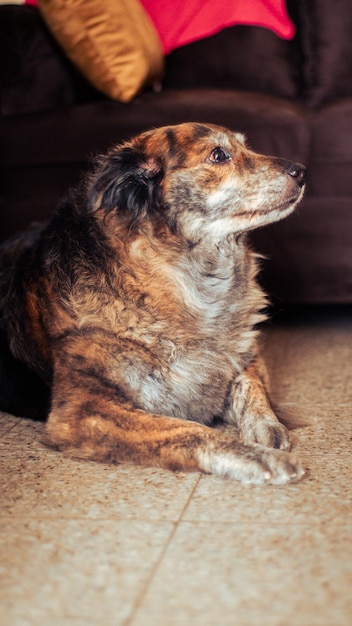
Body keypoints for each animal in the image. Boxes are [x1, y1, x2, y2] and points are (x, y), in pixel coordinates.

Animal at [0, 120, 306, 482]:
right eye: (218, 155)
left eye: (246, 146)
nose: (301, 171)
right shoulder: (82, 411)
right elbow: (189, 430)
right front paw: (259, 457)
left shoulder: (244, 355)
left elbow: (249, 386)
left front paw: (266, 425)